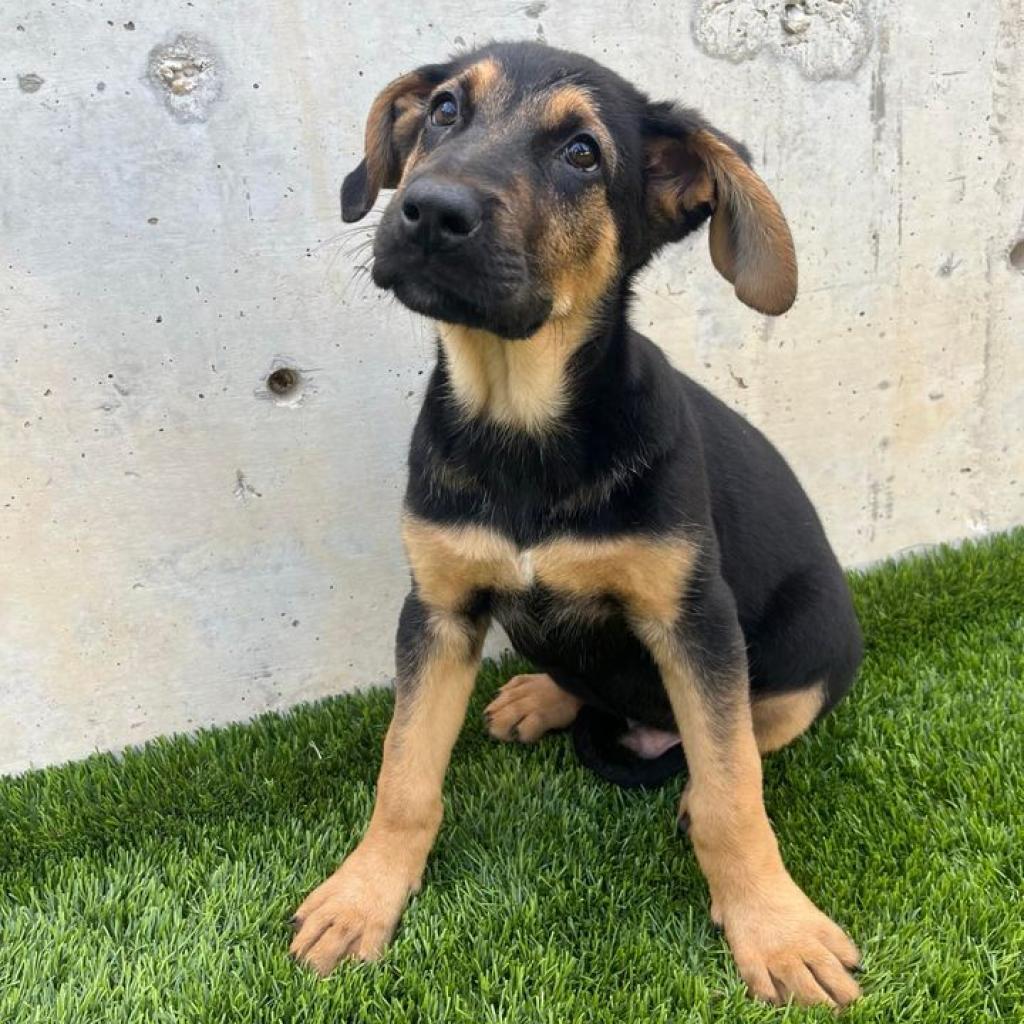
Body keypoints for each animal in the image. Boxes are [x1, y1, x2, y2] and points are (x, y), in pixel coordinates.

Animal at [290, 41, 864, 1007]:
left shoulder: (694, 619)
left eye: (583, 154)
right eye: (445, 110)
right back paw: (541, 694)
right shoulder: (437, 609)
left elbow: (732, 792)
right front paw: (362, 898)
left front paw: (776, 929)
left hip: (820, 638)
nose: (430, 209)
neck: (521, 422)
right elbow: (404, 773)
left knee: (757, 729)